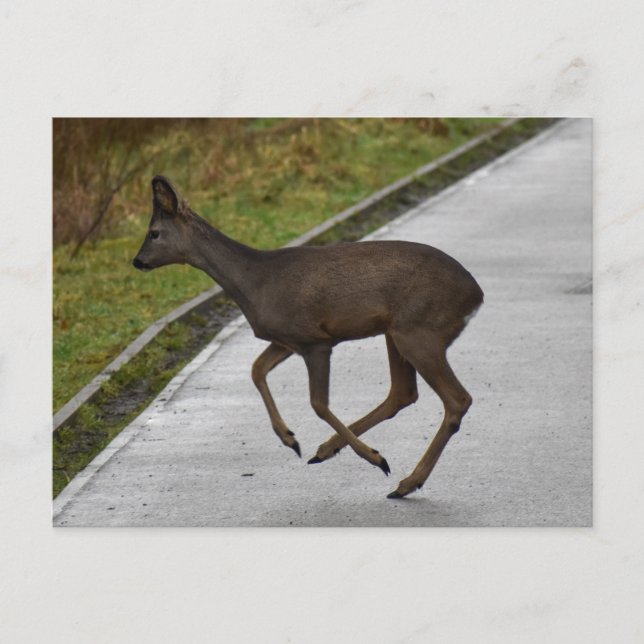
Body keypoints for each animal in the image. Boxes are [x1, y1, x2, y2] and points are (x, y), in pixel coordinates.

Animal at [133, 176, 483, 498]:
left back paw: (405, 481)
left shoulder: (315, 341)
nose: (137, 261)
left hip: (419, 329)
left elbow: (318, 403)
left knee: (457, 398)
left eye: (154, 232)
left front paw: (374, 457)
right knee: (403, 393)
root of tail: (476, 295)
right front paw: (290, 439)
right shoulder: (287, 339)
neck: (254, 281)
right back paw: (335, 453)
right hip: (396, 331)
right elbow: (257, 370)